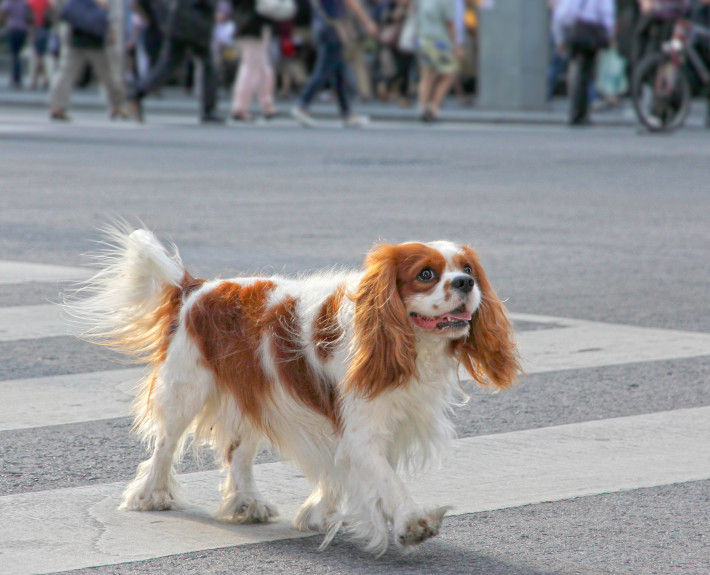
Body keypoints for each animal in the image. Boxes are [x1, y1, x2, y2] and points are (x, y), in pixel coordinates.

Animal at [67, 227, 520, 556]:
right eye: (426, 274)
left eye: (468, 269)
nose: (465, 283)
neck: (409, 345)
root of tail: (196, 287)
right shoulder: (361, 429)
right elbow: (387, 480)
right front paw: (412, 524)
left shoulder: (380, 422)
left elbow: (350, 473)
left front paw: (319, 512)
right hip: (186, 389)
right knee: (165, 444)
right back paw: (151, 495)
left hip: (255, 394)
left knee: (238, 452)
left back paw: (245, 501)